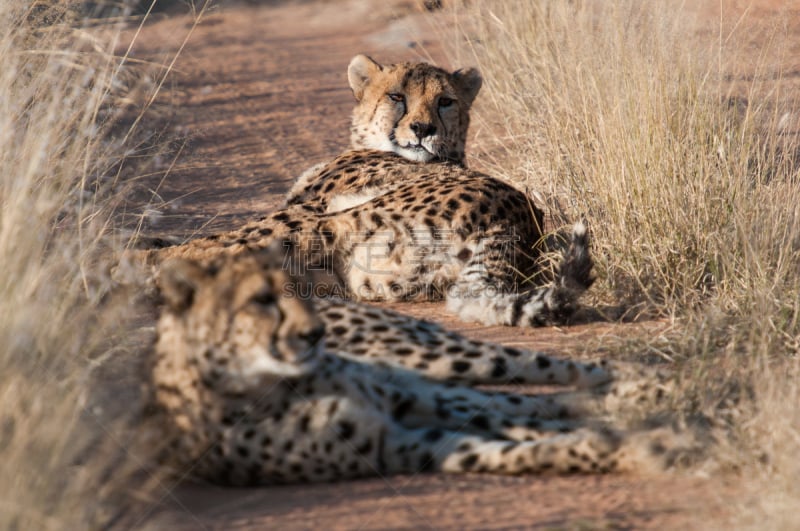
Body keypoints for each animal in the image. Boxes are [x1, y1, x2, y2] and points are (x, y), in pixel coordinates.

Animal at [152, 245, 692, 486]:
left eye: (293, 288)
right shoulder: (399, 444)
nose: (314, 333)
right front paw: (641, 446)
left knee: (543, 373)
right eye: (261, 300)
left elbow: (528, 421)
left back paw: (653, 386)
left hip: (429, 363)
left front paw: (649, 433)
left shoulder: (404, 406)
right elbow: (522, 449)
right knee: (537, 402)